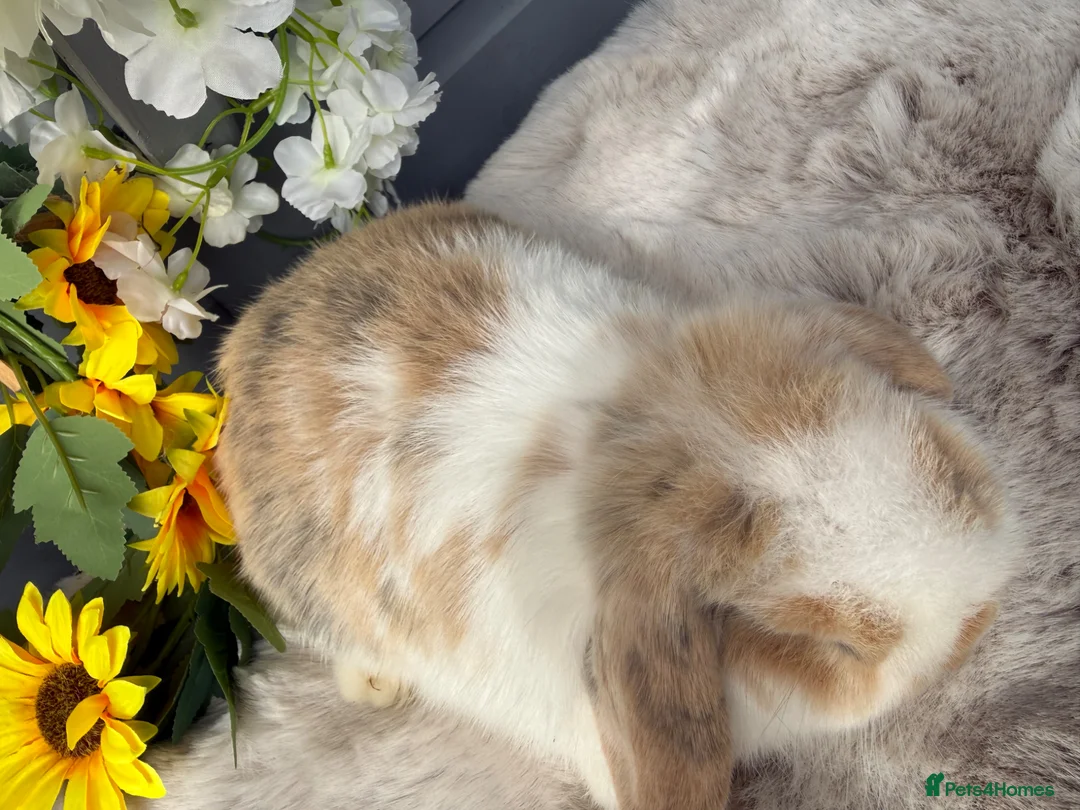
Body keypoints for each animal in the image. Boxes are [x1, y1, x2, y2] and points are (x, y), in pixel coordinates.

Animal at [214, 201, 1018, 810]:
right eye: (831, 645)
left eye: (945, 467)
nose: (978, 617)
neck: (625, 449)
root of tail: (247, 336)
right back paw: (374, 687)